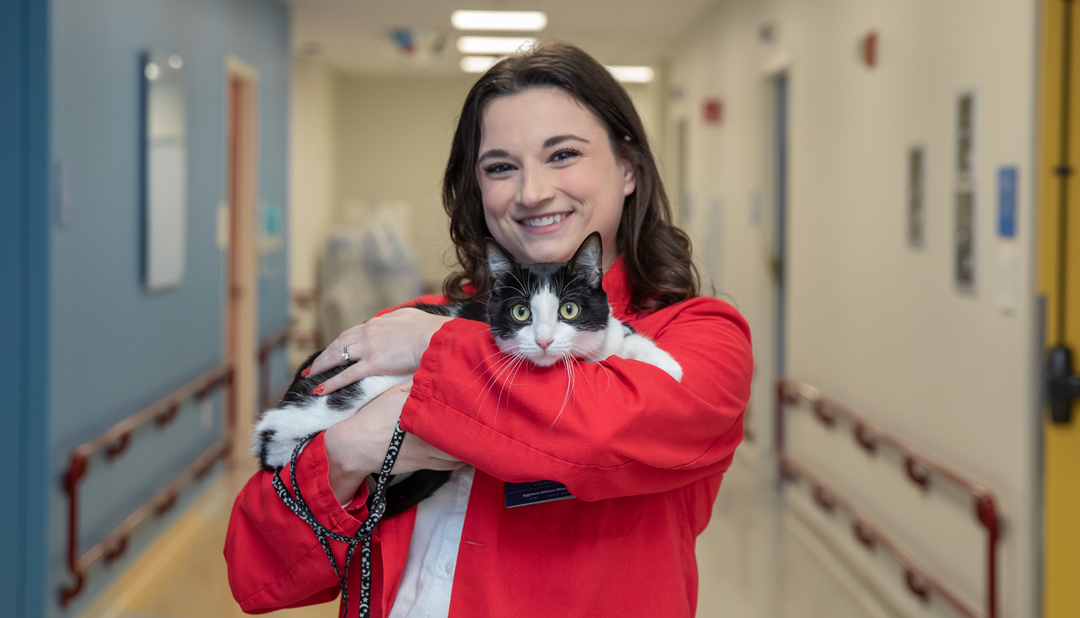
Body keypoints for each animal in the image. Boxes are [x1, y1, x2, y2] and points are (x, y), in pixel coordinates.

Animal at [250, 233, 682, 516]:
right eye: (521, 312)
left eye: (569, 310)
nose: (543, 341)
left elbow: (619, 336)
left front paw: (667, 365)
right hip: (348, 390)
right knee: (279, 434)